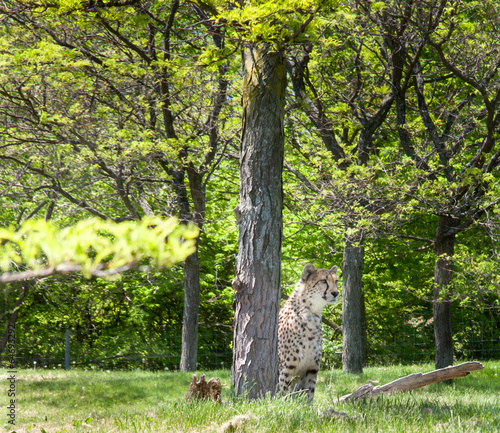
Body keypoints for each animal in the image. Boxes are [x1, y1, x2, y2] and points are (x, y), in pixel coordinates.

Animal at [278, 264, 340, 402]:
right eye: (323, 281)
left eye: (336, 281)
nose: (336, 293)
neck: (311, 314)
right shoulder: (286, 369)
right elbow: (284, 394)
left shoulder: (312, 368)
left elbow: (309, 394)